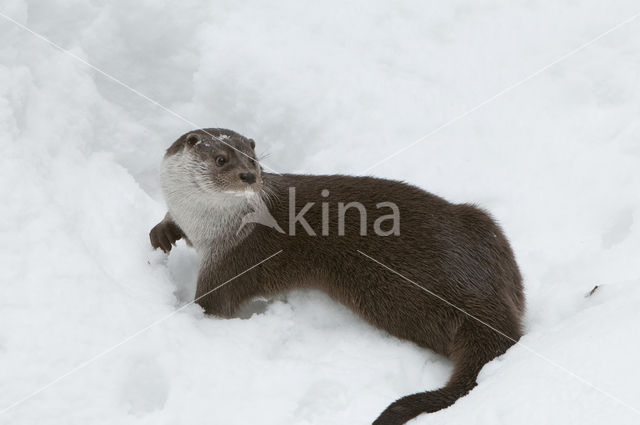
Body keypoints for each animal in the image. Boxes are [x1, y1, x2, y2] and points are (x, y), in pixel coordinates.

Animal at [150, 128, 524, 424]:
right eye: (221, 159)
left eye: (254, 161)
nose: (249, 176)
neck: (209, 227)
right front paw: (162, 232)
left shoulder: (235, 261)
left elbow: (210, 305)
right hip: (485, 224)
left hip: (394, 295)